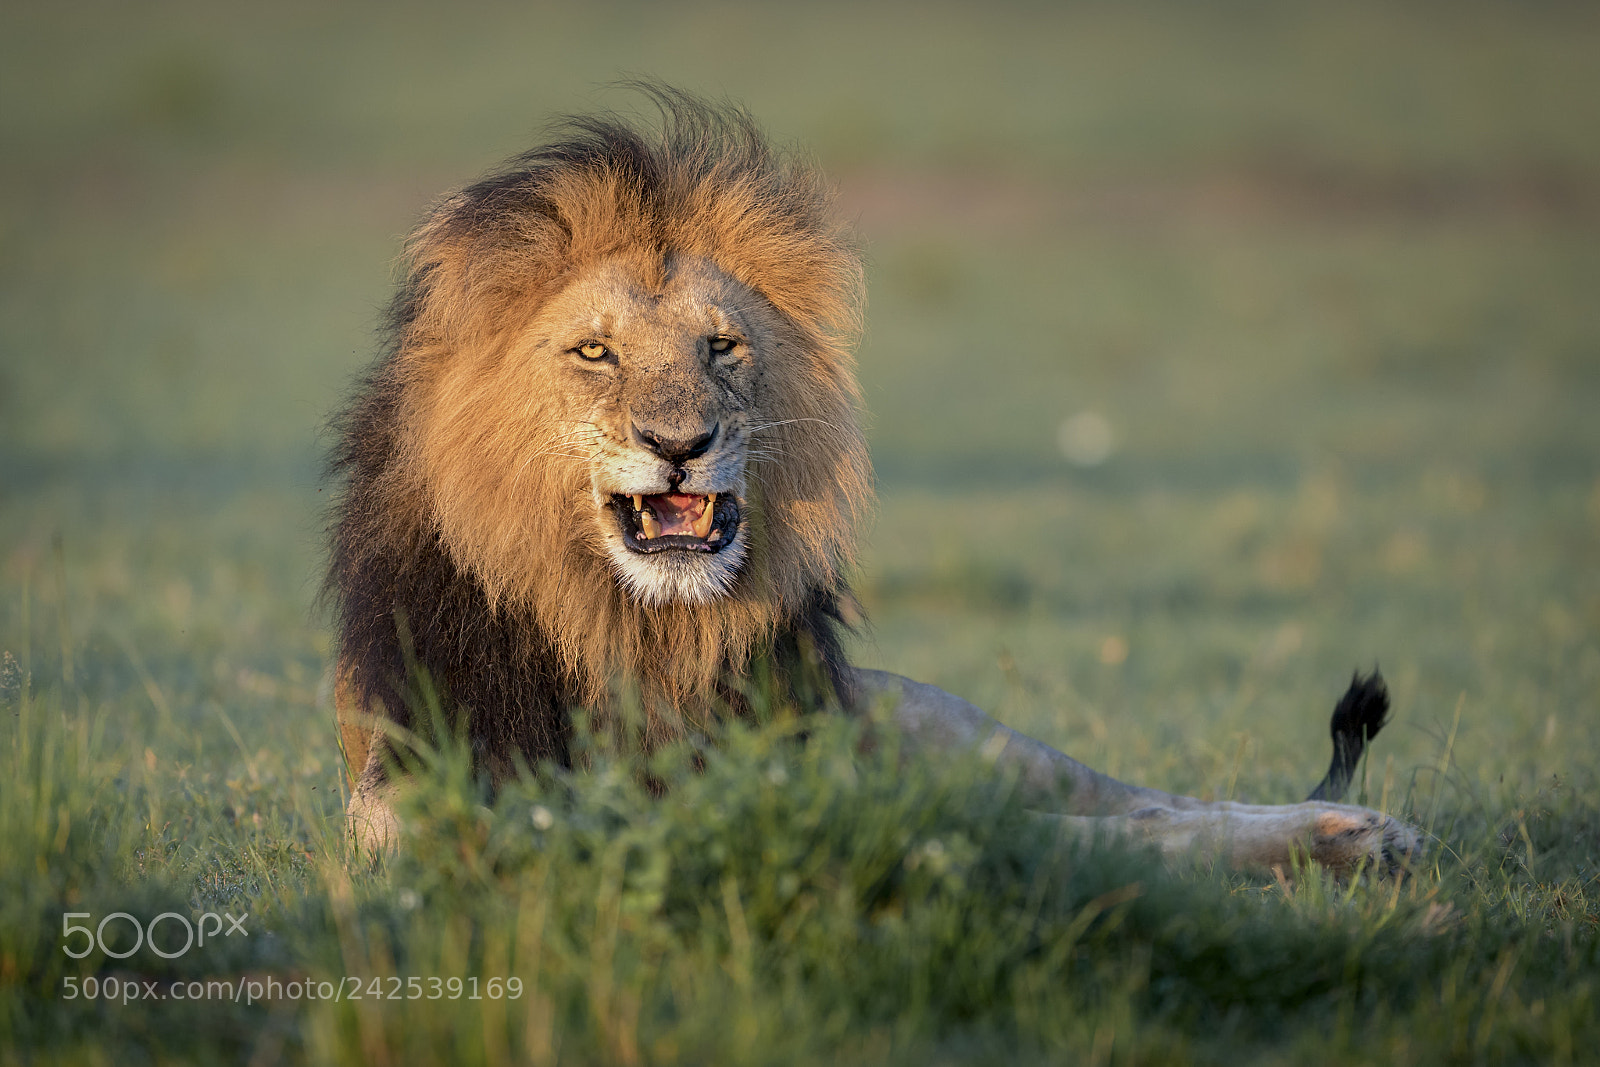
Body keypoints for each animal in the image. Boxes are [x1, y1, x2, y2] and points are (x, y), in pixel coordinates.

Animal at [327, 89, 1419, 876]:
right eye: (594, 351)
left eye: (721, 345)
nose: (681, 441)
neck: (647, 634)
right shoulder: (414, 786)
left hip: (968, 734)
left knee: (1138, 803)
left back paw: (1358, 830)